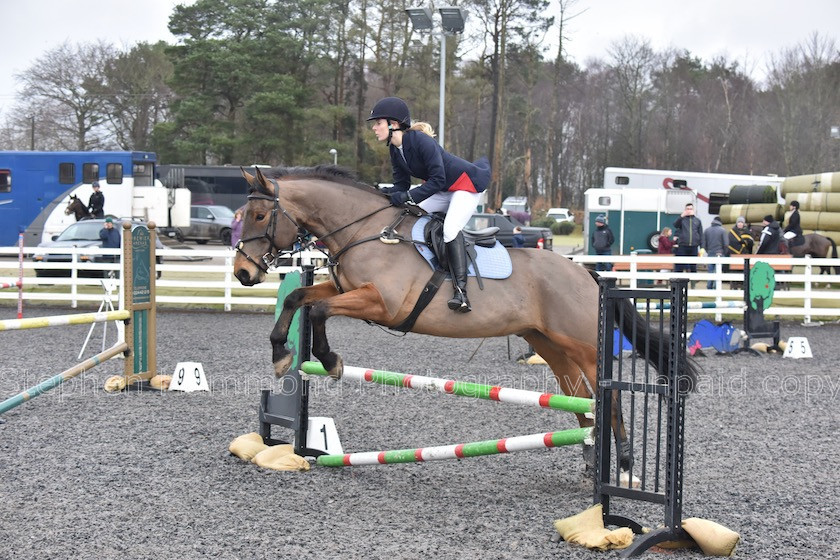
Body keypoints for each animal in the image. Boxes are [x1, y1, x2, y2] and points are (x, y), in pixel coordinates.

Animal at [233, 165, 700, 472]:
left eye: (258, 215)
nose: (243, 273)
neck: (364, 231)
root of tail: (585, 273)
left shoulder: (381, 303)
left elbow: (318, 310)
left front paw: (330, 361)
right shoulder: (348, 290)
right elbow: (299, 297)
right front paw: (281, 354)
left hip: (582, 343)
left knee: (608, 394)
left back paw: (623, 460)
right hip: (549, 344)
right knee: (578, 394)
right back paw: (589, 453)